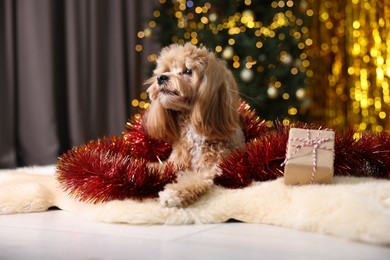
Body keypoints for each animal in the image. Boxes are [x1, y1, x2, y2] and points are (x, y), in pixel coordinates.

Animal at [145, 43, 245, 208]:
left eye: (188, 70)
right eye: (166, 70)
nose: (160, 78)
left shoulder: (210, 169)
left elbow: (193, 180)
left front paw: (173, 194)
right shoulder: (174, 162)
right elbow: (157, 167)